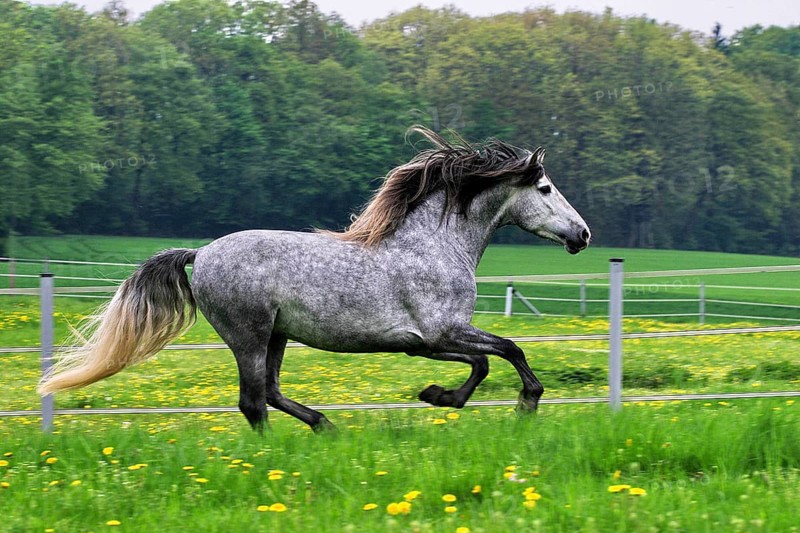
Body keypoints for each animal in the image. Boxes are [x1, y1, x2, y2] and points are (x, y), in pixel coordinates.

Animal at [38, 126, 591, 432]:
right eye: (545, 188)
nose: (583, 234)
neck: (433, 246)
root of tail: (202, 253)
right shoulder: (441, 332)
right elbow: (505, 352)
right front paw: (517, 405)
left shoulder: (426, 343)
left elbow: (484, 360)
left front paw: (439, 395)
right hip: (250, 334)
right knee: (252, 401)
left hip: (277, 335)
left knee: (270, 394)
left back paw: (326, 426)